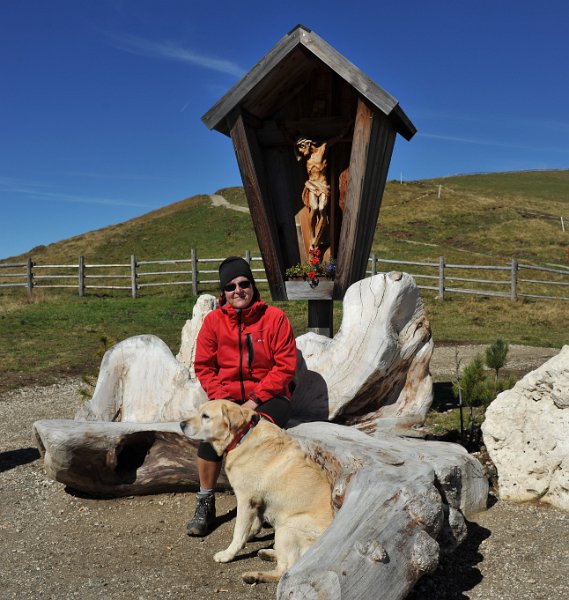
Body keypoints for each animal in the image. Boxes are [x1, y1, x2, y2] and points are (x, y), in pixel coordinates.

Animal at [181, 400, 332, 584]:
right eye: (198, 412)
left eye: (206, 416)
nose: (181, 424)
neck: (242, 438)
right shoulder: (258, 502)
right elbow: (253, 524)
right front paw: (251, 534)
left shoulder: (246, 500)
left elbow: (238, 532)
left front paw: (228, 554)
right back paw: (268, 553)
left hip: (287, 527)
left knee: (284, 571)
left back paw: (253, 575)